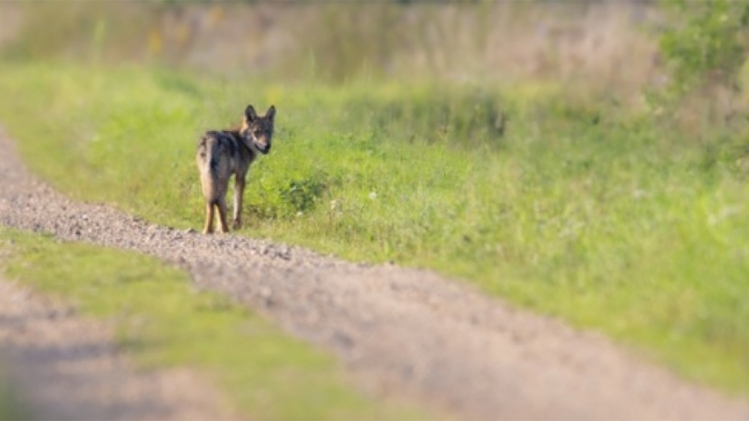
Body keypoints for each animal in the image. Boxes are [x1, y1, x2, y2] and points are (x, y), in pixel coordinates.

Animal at [196, 104, 275, 234]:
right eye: (257, 132)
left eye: (268, 131)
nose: (267, 145)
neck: (242, 141)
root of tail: (212, 138)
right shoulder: (240, 177)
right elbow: (238, 204)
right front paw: (237, 225)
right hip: (223, 180)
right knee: (219, 202)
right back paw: (225, 229)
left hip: (206, 179)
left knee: (211, 202)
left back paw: (208, 230)